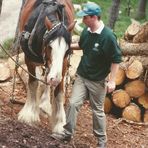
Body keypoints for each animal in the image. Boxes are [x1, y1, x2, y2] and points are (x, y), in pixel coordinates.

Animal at [17, 0, 74, 134]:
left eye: (67, 51)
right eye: (50, 46)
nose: (55, 79)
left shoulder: (63, 65)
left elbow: (59, 92)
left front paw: (60, 124)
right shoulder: (29, 60)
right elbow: (33, 83)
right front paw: (29, 115)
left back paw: (45, 103)